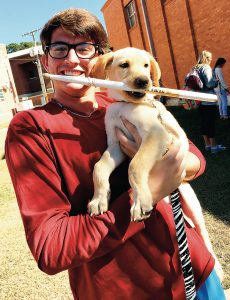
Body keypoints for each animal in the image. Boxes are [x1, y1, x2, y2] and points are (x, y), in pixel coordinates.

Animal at [86, 47, 223, 278]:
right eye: (124, 65)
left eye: (146, 66)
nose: (144, 82)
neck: (125, 106)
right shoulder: (115, 146)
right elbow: (100, 167)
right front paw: (99, 199)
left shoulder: (156, 135)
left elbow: (135, 165)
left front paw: (140, 201)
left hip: (192, 204)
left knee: (203, 233)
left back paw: (219, 268)